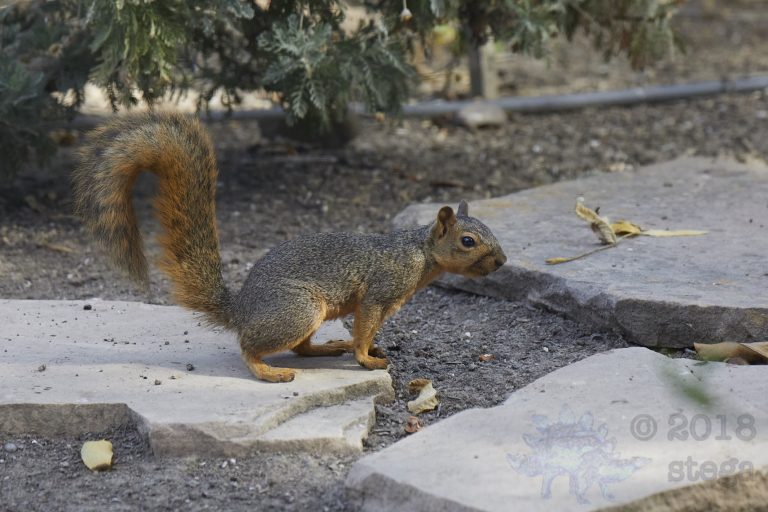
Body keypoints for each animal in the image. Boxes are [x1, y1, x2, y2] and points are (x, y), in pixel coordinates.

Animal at [72, 112, 507, 383]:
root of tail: (242, 311)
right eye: (468, 241)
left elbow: (369, 329)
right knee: (250, 348)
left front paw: (363, 347)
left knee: (302, 349)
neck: (418, 254)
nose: (502, 261)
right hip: (299, 310)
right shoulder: (380, 290)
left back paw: (330, 346)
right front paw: (365, 357)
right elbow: (366, 325)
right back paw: (270, 371)